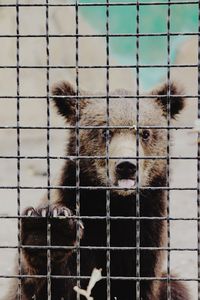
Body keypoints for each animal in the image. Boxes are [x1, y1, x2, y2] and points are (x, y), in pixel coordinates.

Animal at [6, 81, 191, 298]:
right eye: (105, 131)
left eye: (145, 133)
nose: (126, 166)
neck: (115, 205)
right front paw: (47, 227)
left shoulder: (146, 230)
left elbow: (136, 281)